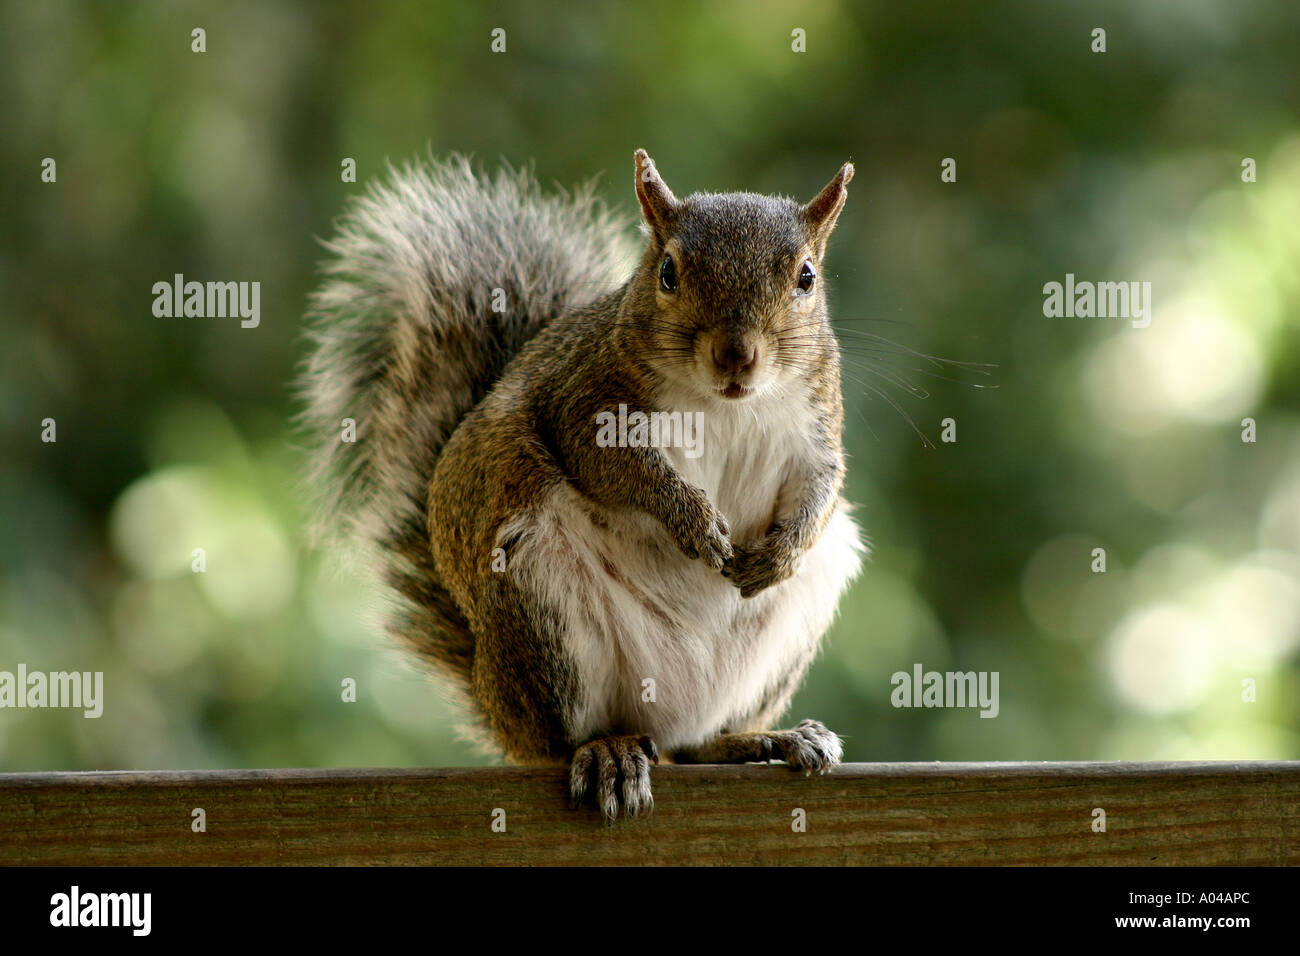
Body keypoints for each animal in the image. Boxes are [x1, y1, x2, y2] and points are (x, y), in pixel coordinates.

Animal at [299, 149, 865, 820]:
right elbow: (619, 470)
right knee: (564, 739)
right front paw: (692, 520)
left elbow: (821, 488)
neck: (726, 405)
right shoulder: (582, 401)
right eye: (668, 272)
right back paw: (606, 752)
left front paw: (777, 555)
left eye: (807, 276)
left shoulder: (815, 426)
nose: (736, 355)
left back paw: (765, 740)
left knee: (695, 746)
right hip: (536, 601)